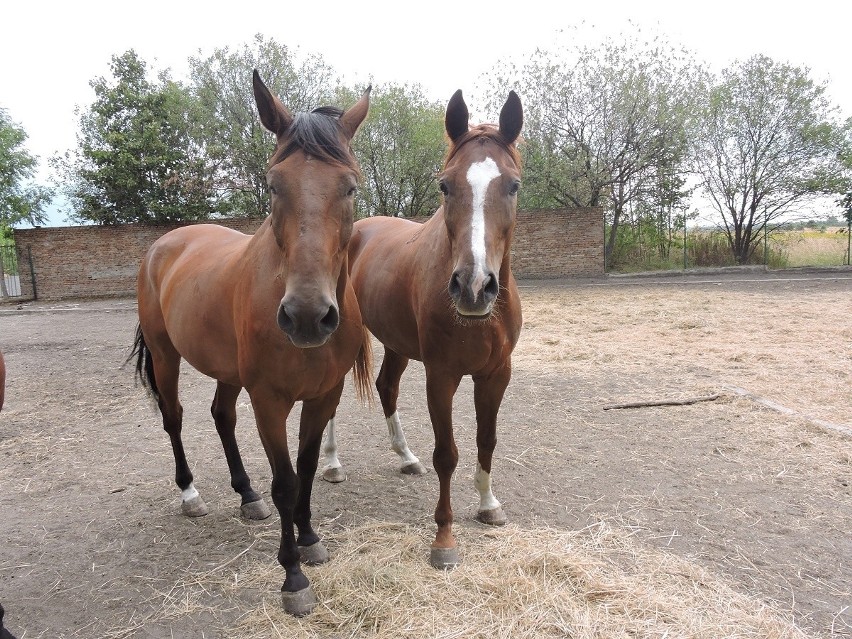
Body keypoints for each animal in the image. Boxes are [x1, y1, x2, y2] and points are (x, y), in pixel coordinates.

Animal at [131, 69, 372, 616]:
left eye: (349, 186)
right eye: (272, 184)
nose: (306, 316)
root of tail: (163, 244)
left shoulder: (324, 397)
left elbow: (307, 469)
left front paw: (310, 539)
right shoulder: (269, 401)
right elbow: (285, 483)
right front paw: (293, 577)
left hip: (226, 370)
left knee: (222, 416)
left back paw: (246, 495)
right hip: (166, 356)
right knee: (174, 419)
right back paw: (191, 495)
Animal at [322, 87, 524, 568]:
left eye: (513, 185)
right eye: (445, 185)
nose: (474, 287)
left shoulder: (496, 375)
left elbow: (486, 440)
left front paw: (489, 505)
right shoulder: (441, 376)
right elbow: (447, 455)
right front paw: (444, 539)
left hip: (396, 344)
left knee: (387, 386)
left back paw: (405, 455)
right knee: (332, 401)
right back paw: (333, 464)